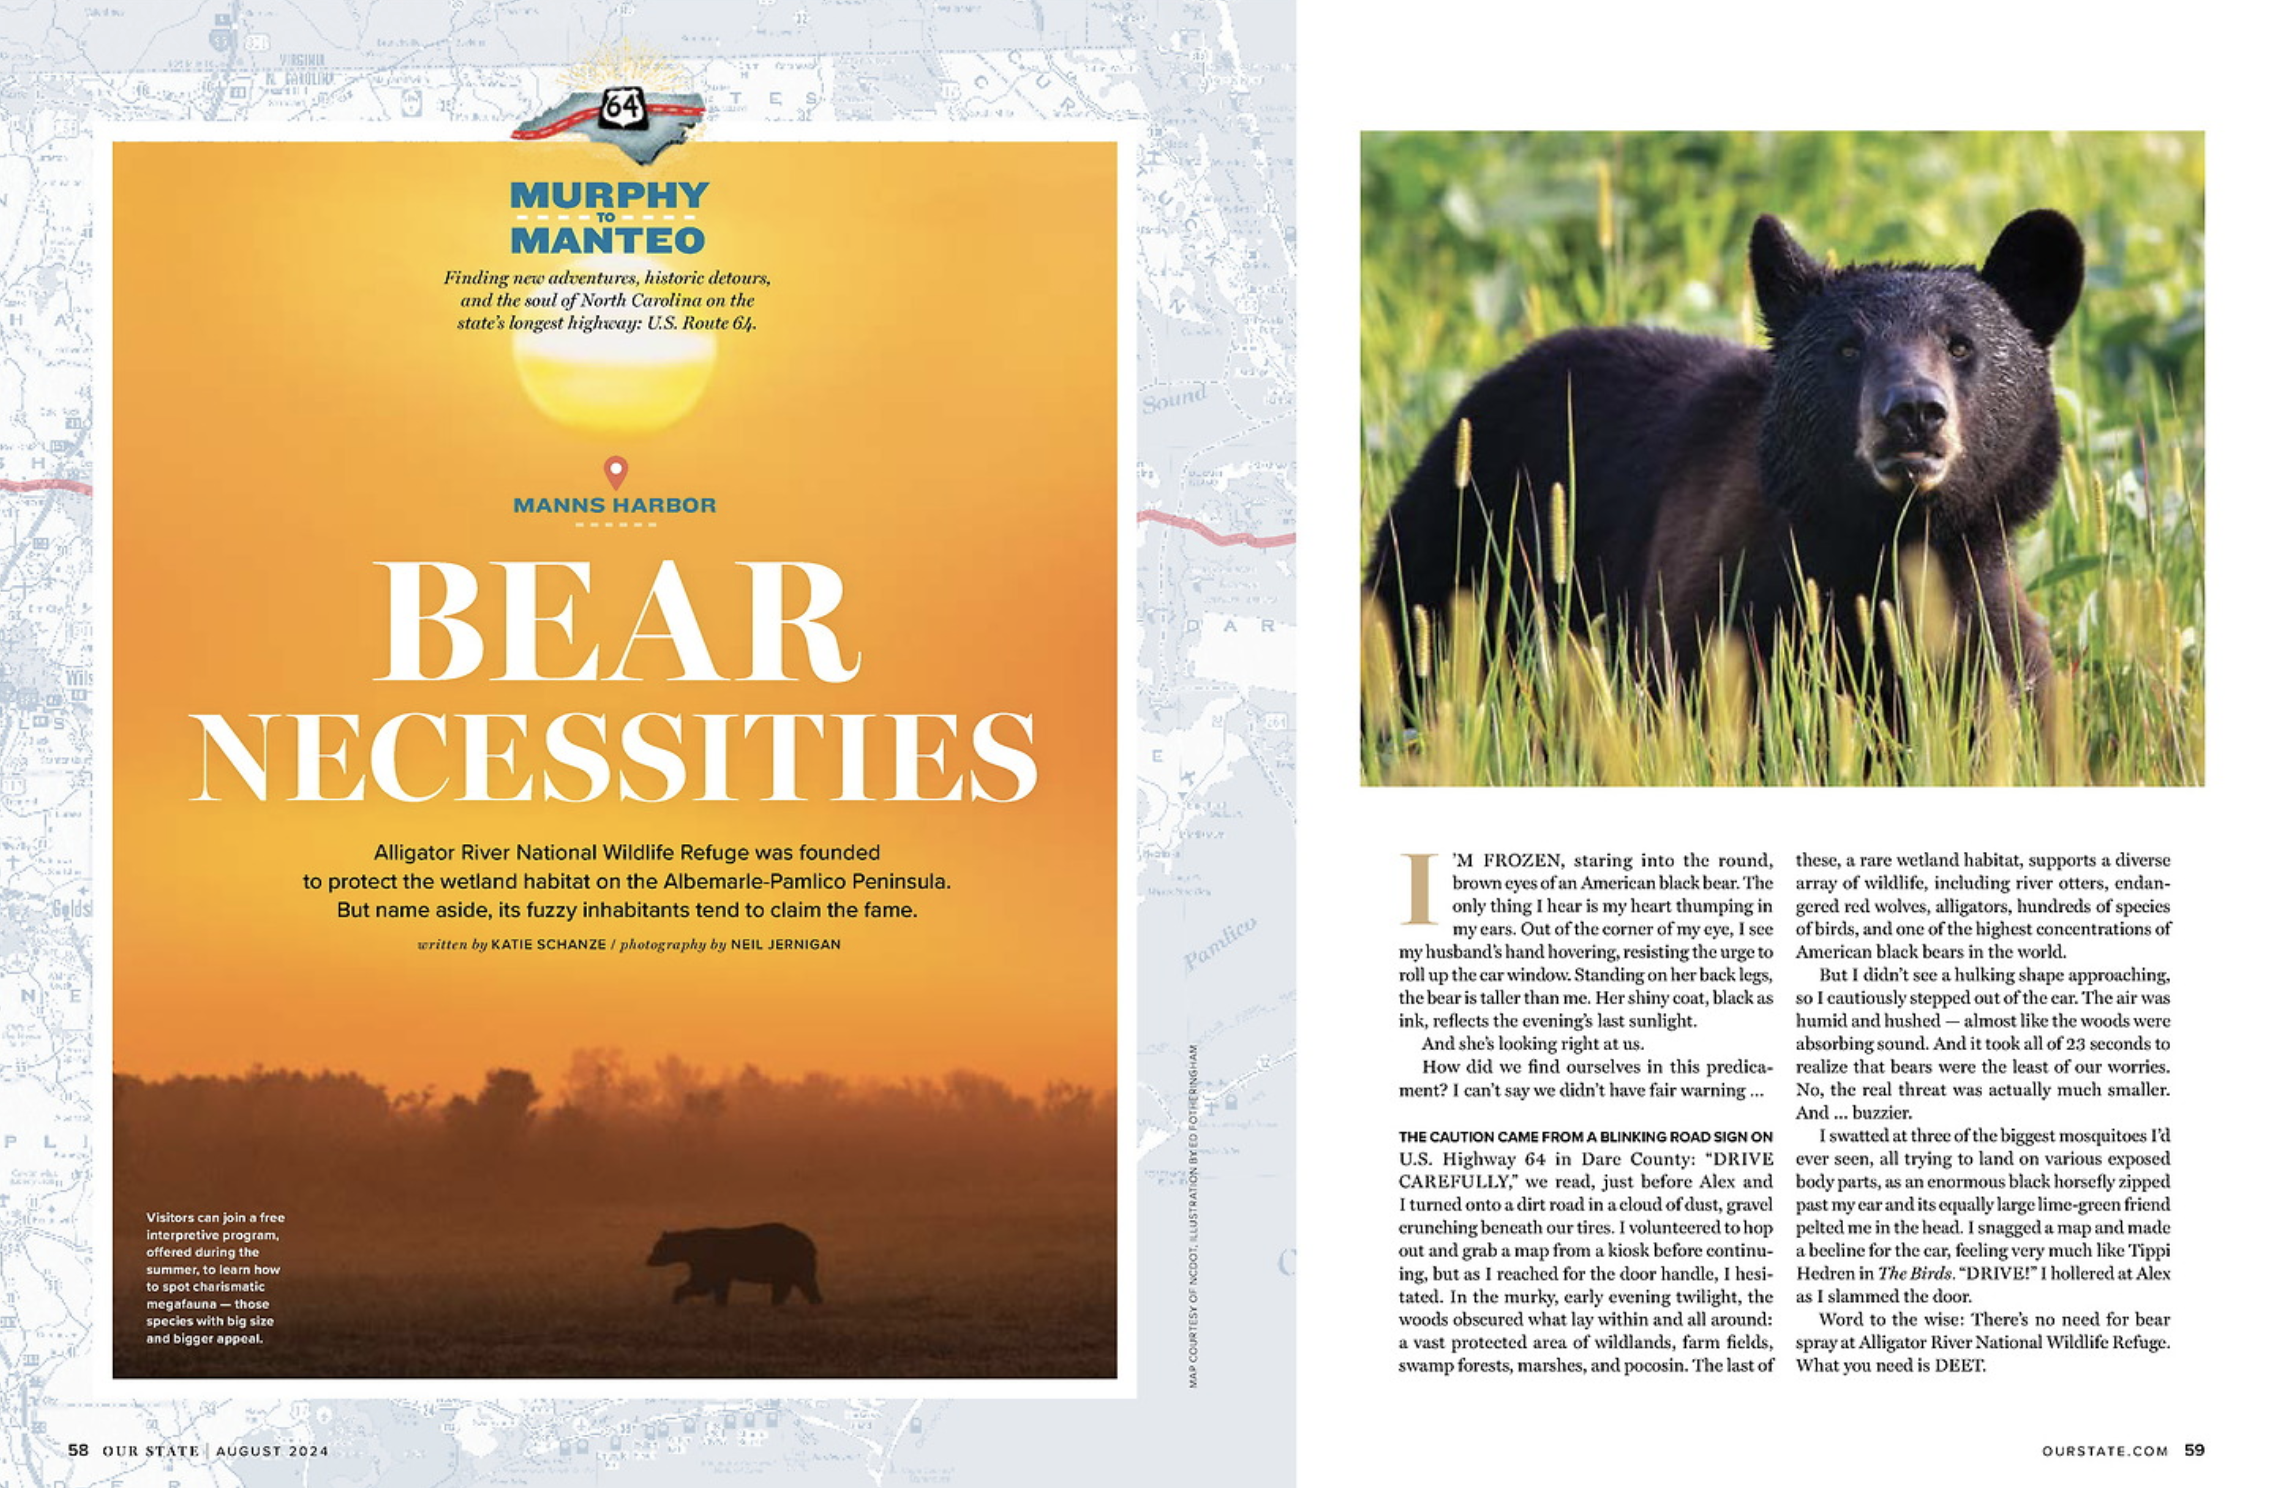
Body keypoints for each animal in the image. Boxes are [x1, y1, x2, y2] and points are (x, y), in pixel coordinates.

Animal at [647, 1222, 823, 1307]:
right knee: (788, 1286)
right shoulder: (708, 1266)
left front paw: (676, 1297)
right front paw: (721, 1303)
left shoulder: (709, 1262)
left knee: (803, 1283)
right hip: (787, 1267)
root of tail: (810, 1242)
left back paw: (814, 1302)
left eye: (657, 1247)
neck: (691, 1249)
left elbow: (703, 1284)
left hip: (791, 1261)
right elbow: (713, 1286)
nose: (649, 1260)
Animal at [1365, 209, 2083, 719]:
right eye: (1849, 348)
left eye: (1960, 345)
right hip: (1456, 551)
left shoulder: (1981, 620)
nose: (1912, 411)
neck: (1885, 543)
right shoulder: (1729, 606)